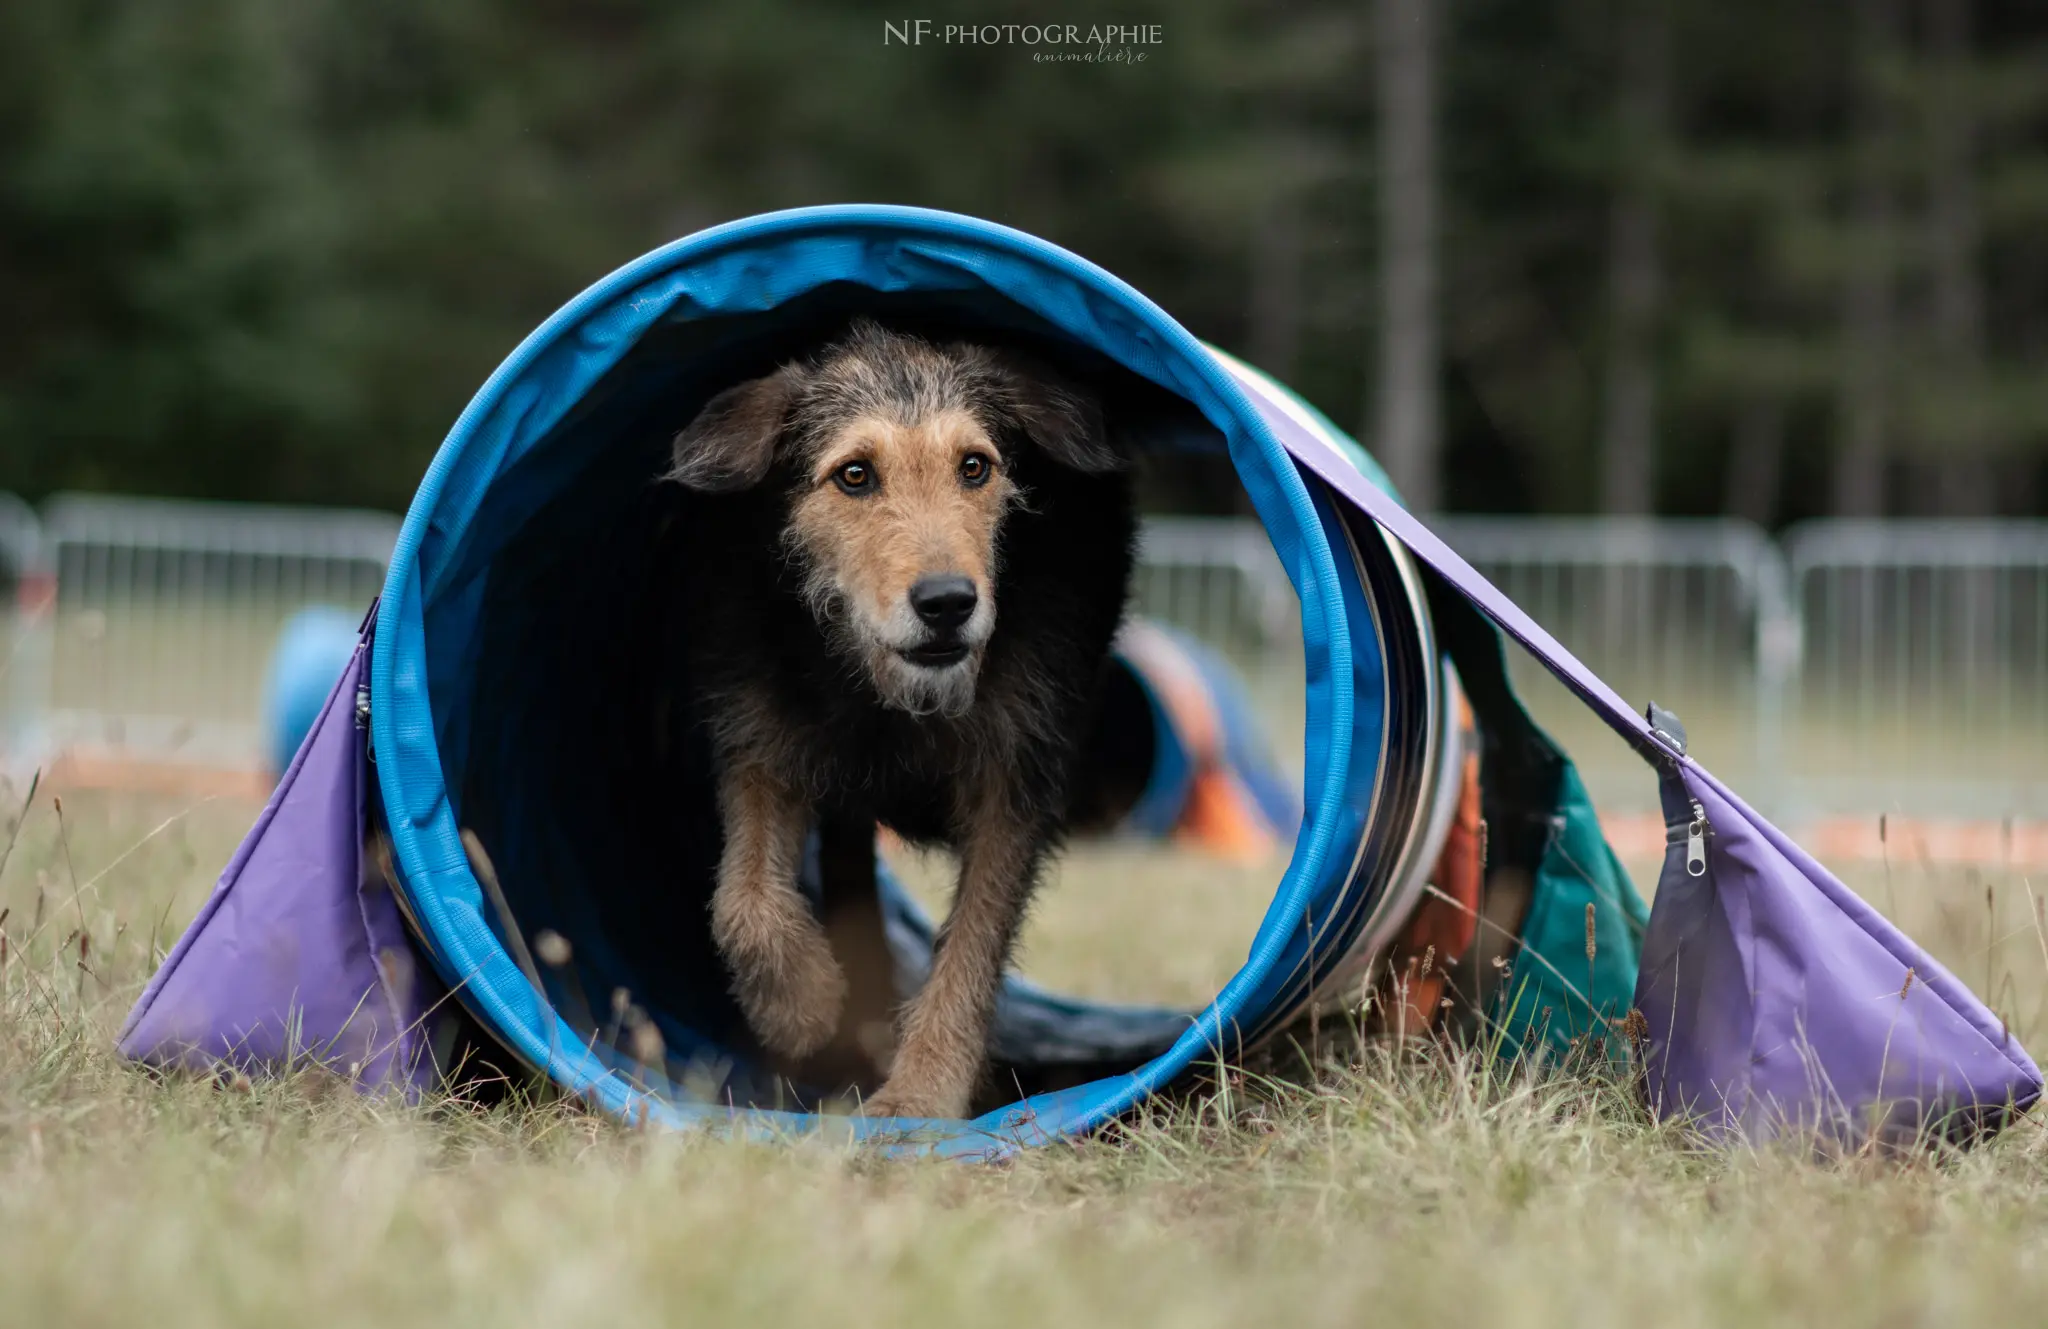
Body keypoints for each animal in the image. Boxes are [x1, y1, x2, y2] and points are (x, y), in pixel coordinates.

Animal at [663, 321, 1138, 1122]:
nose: (948, 602)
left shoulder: (1012, 784)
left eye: (974, 466)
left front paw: (920, 1094)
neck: (886, 697)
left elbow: (971, 951)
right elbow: (742, 899)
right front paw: (801, 1004)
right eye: (855, 475)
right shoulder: (759, 742)